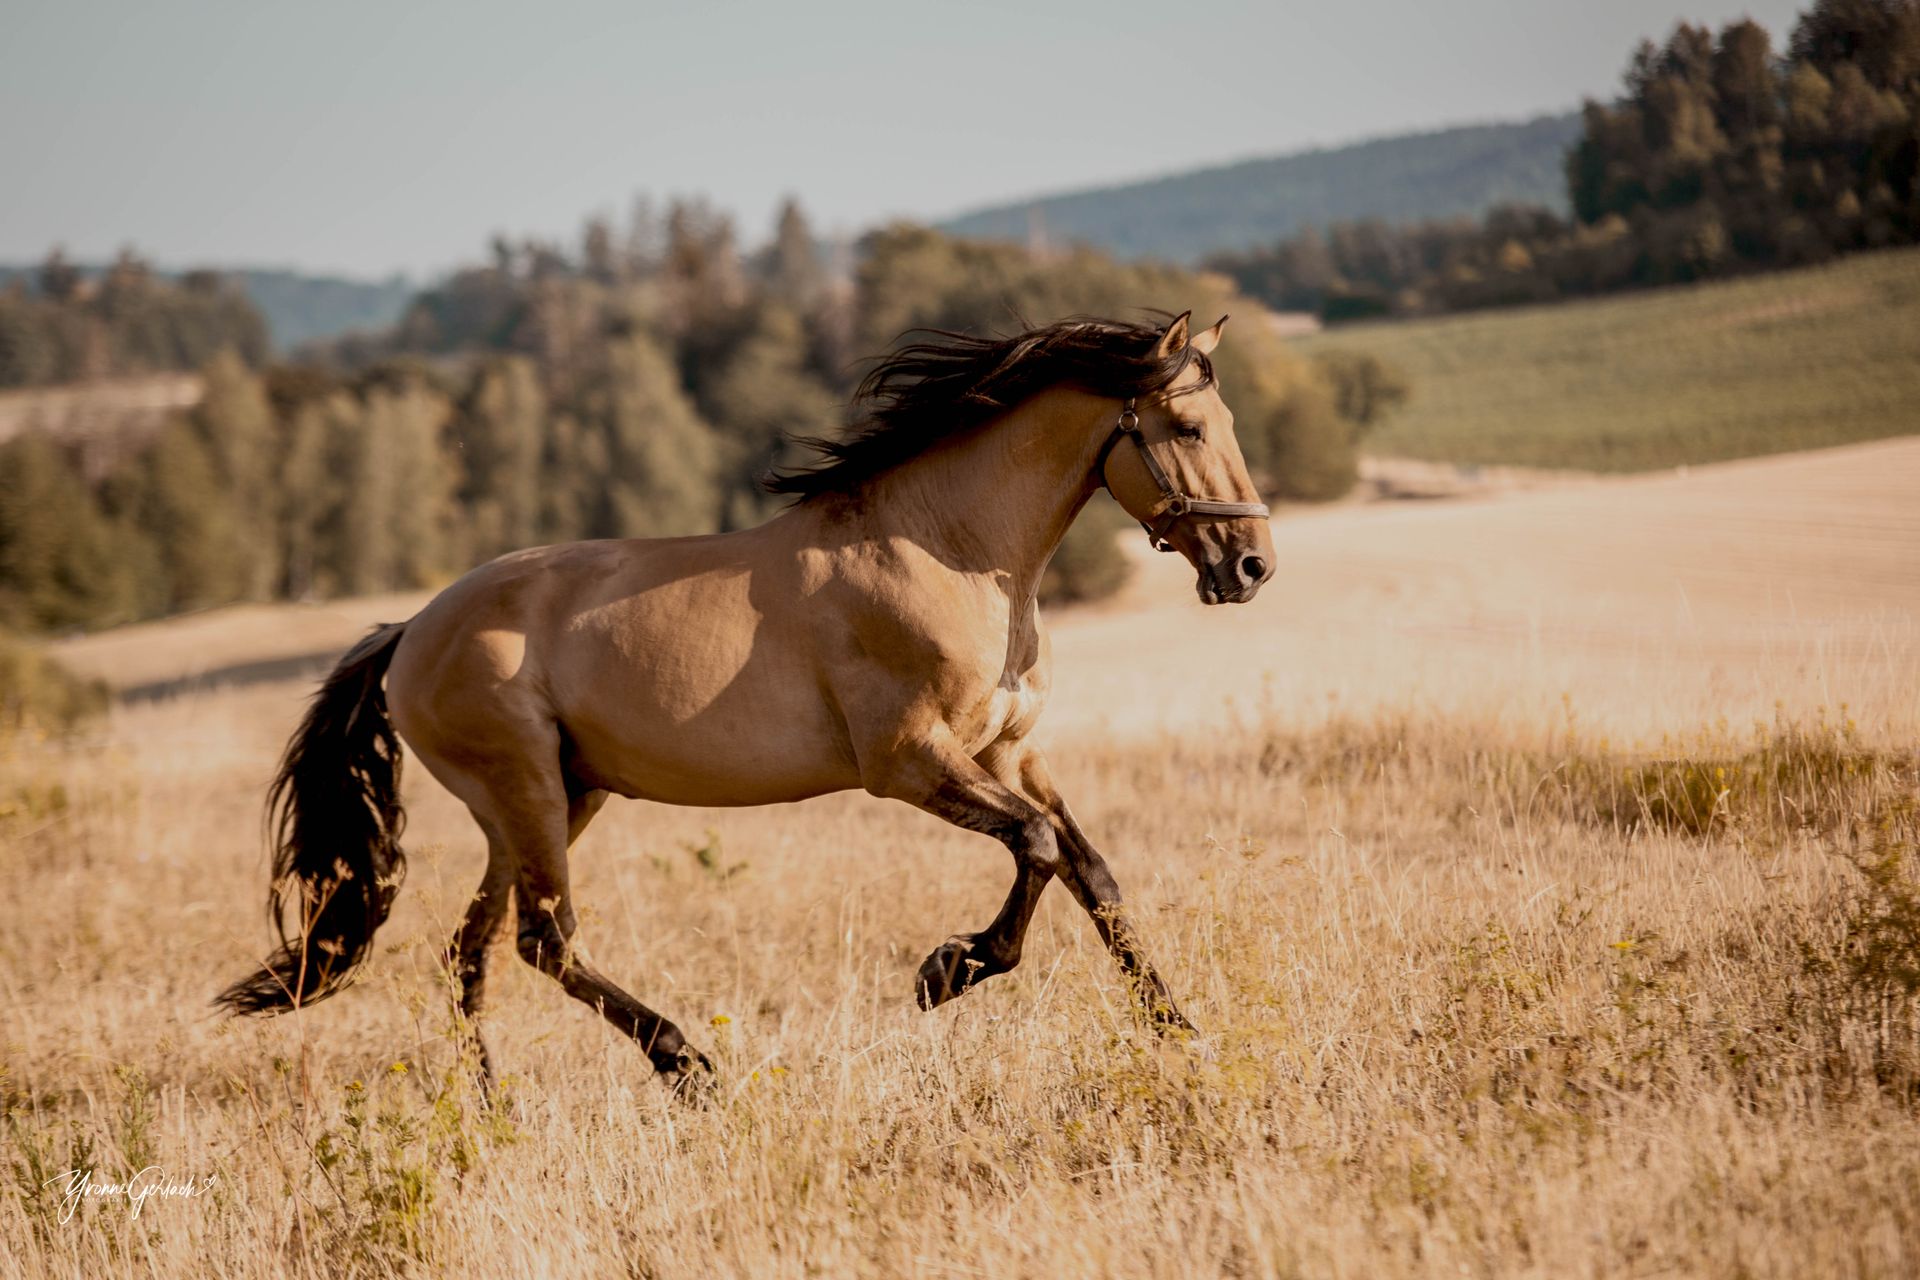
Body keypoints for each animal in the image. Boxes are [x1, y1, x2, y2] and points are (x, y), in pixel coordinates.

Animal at [217, 307, 1274, 1090]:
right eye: (1185, 429)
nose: (1251, 566)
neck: (949, 548)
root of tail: (410, 634)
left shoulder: (1009, 749)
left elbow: (1091, 873)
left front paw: (1179, 1030)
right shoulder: (909, 762)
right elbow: (1040, 847)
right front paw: (947, 972)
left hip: (548, 802)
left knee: (469, 953)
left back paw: (493, 1114)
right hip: (526, 794)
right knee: (543, 941)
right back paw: (685, 1064)